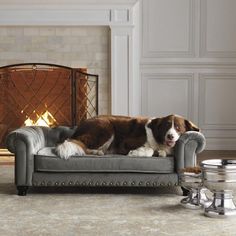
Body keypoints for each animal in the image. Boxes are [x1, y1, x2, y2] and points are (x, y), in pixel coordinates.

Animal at [55, 114, 199, 159]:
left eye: (178, 128)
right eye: (166, 127)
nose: (170, 136)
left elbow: (160, 152)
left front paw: (160, 152)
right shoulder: (126, 143)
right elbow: (149, 149)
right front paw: (137, 153)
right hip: (106, 126)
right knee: (81, 144)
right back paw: (98, 152)